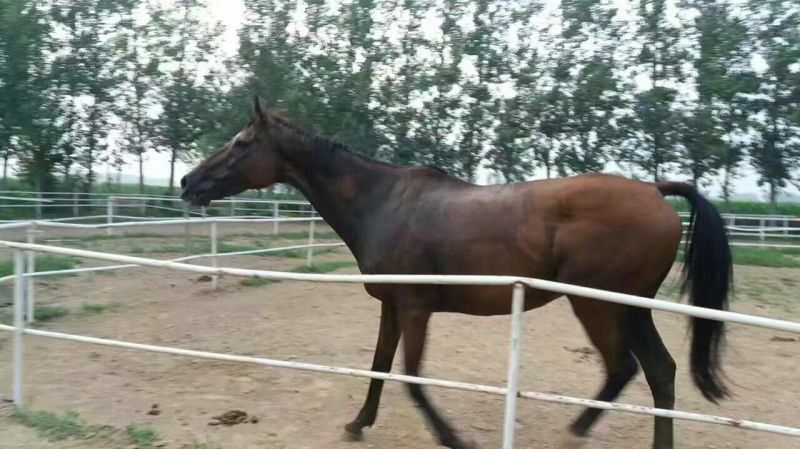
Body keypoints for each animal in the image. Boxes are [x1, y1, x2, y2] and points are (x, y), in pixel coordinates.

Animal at [180, 96, 732, 449]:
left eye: (241, 143)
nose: (188, 182)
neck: (383, 203)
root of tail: (655, 191)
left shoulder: (416, 309)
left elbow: (411, 378)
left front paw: (453, 439)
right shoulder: (393, 306)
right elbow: (380, 367)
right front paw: (358, 424)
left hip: (598, 305)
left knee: (625, 369)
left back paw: (574, 433)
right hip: (632, 310)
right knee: (660, 373)